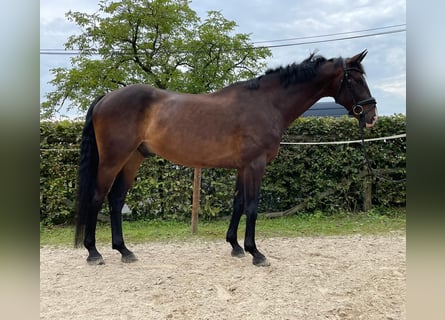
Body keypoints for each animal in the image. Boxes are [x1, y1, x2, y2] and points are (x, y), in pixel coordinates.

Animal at [74, 49, 376, 264]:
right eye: (355, 79)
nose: (371, 115)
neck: (266, 103)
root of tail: (105, 98)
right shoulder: (255, 165)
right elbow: (252, 205)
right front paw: (256, 253)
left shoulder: (243, 167)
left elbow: (238, 203)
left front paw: (236, 246)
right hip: (113, 160)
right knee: (97, 198)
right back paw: (93, 253)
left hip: (133, 159)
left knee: (116, 200)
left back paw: (124, 251)